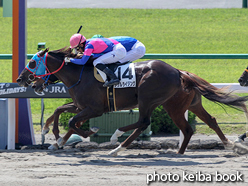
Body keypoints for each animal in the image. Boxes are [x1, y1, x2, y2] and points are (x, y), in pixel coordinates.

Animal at [16, 47, 248, 155]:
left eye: (32, 62)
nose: (21, 79)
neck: (79, 74)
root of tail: (179, 72)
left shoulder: (95, 108)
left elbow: (73, 121)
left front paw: (88, 132)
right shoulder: (81, 105)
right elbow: (59, 110)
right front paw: (53, 135)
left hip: (154, 100)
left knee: (145, 122)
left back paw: (116, 139)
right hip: (186, 104)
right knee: (206, 122)